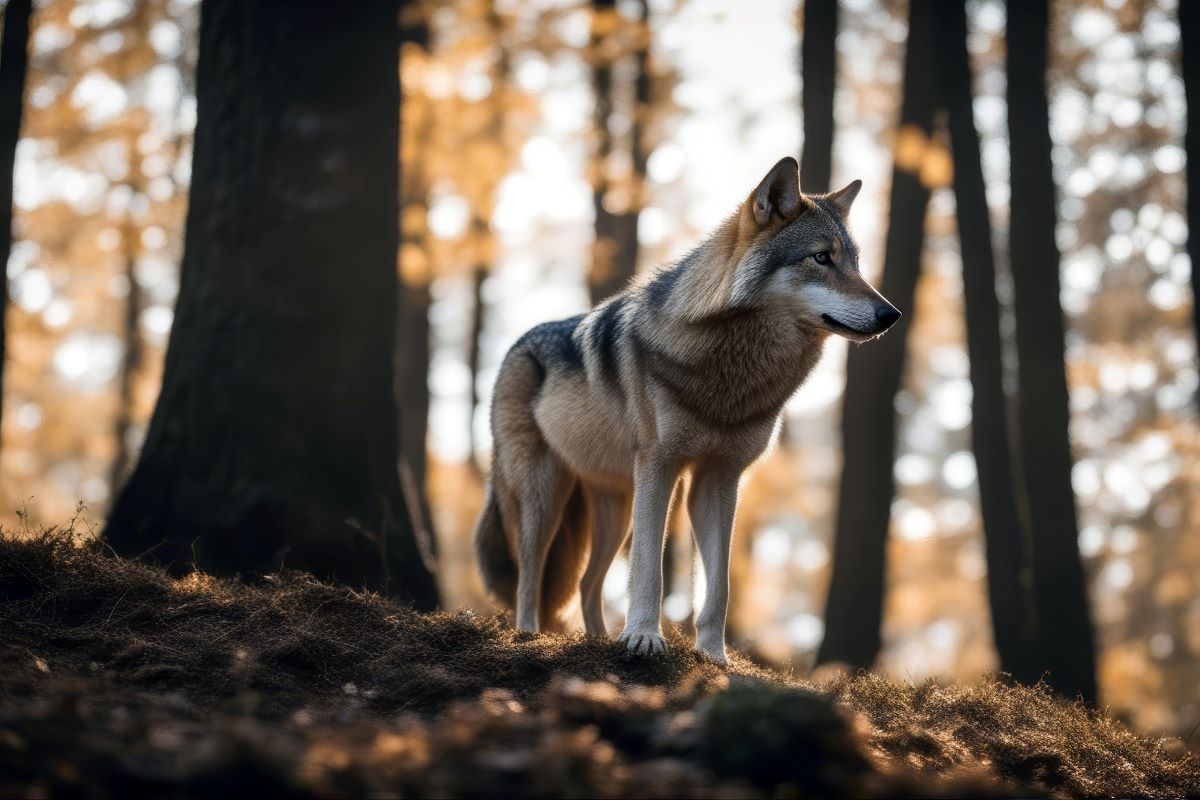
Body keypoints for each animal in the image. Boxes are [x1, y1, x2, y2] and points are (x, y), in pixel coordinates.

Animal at [472, 154, 897, 662]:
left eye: (856, 263)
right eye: (821, 257)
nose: (891, 315)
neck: (734, 373)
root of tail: (516, 345)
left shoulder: (719, 479)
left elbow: (719, 586)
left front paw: (713, 656)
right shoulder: (661, 468)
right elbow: (649, 569)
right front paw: (643, 638)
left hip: (614, 510)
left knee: (589, 585)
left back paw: (596, 640)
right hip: (544, 497)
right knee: (529, 577)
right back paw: (528, 635)